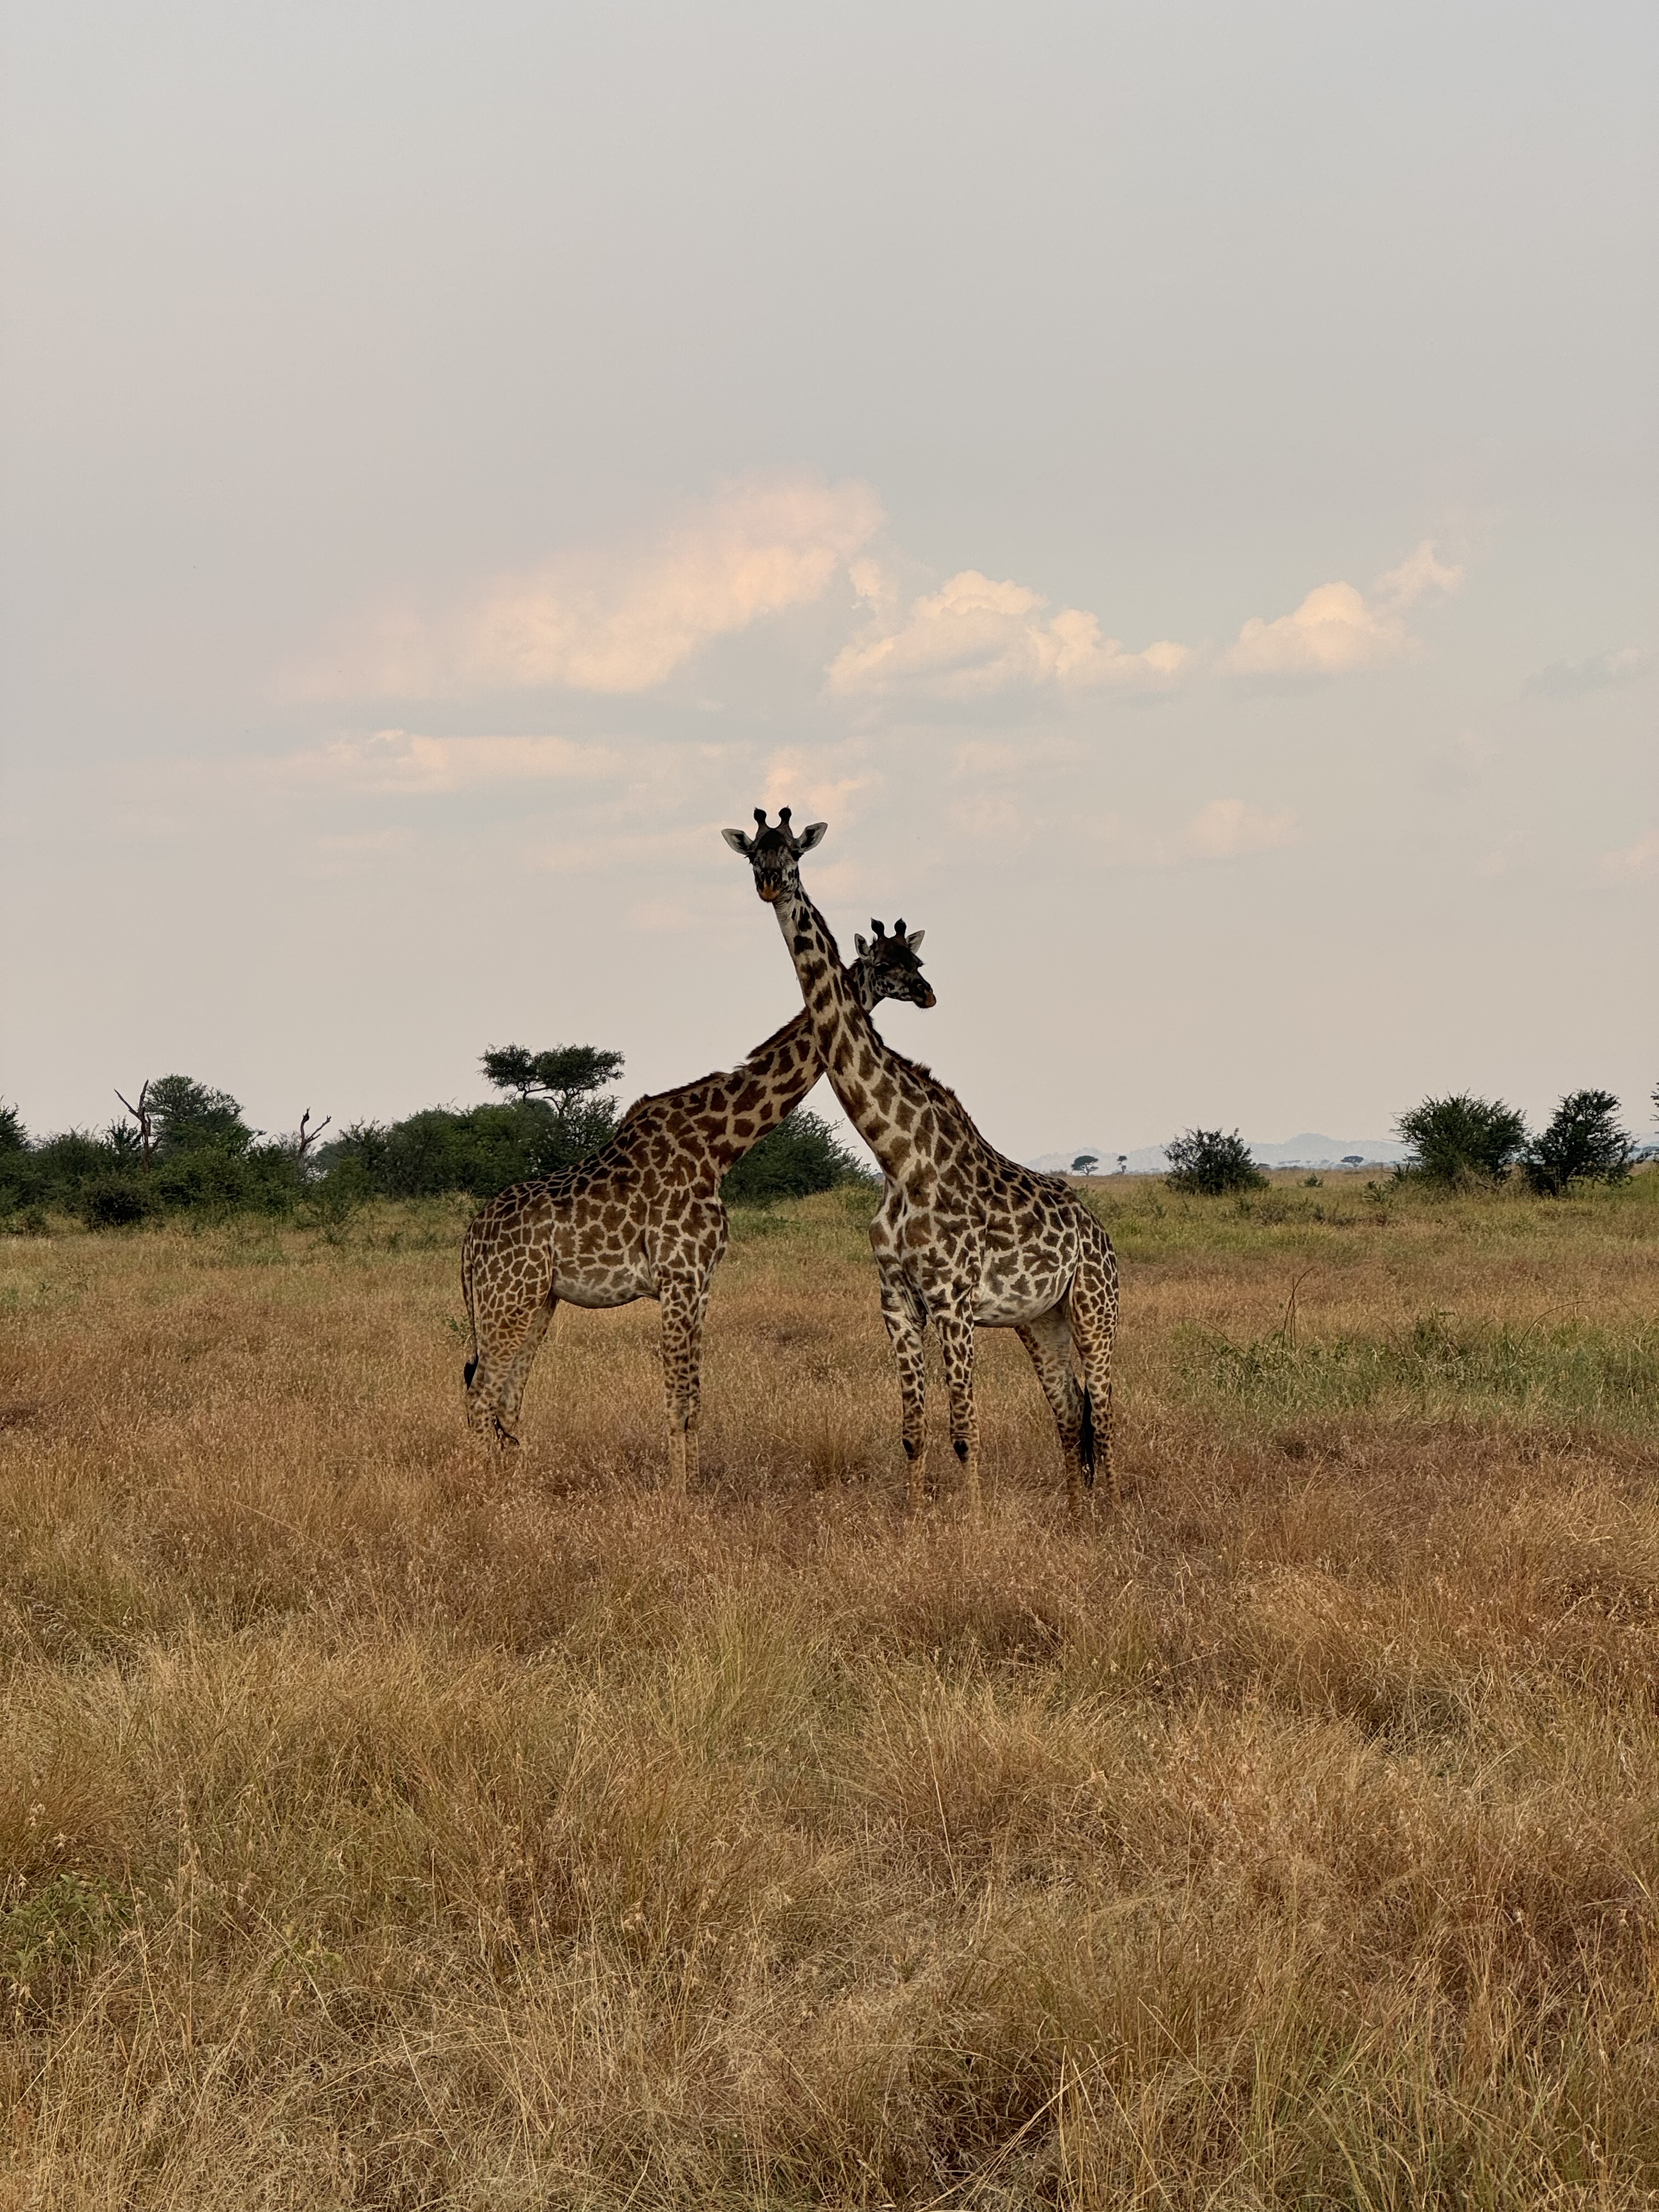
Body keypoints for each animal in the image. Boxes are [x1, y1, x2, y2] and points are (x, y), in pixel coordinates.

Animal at [460, 923, 936, 1488]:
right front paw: (679, 1496)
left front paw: (690, 1485)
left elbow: (694, 1400)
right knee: (480, 1395)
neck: (719, 1146)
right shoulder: (679, 1276)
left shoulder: (702, 1281)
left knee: (507, 1399)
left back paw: (513, 1487)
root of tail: (469, 1242)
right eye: (885, 964)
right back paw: (479, 1492)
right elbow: (678, 1401)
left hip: (537, 1301)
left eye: (917, 959)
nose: (927, 994)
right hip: (507, 1298)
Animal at [723, 807, 1118, 1516]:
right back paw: (1079, 1517)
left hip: (1094, 1307)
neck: (899, 1155)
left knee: (1105, 1413)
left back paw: (1118, 1515)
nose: (770, 885)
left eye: (794, 853)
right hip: (1040, 1318)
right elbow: (912, 1428)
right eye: (754, 854)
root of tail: (1100, 1235)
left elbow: (965, 1428)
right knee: (1070, 1411)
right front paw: (913, 1521)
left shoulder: (954, 1299)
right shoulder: (897, 1298)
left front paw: (973, 1525)